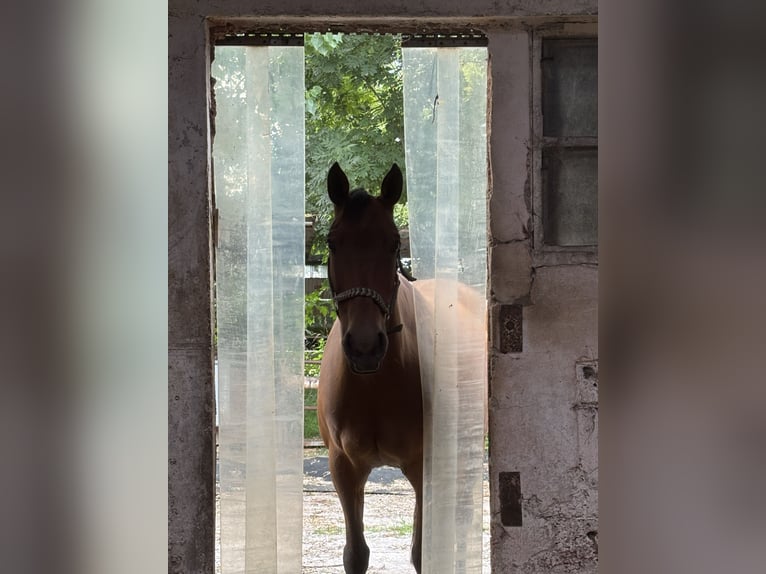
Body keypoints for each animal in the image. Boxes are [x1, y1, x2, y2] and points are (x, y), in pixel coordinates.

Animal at [317, 162, 425, 574]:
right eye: (332, 242)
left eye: (393, 243)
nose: (364, 346)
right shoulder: (345, 469)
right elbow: (355, 554)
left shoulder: (422, 465)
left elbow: (422, 552)